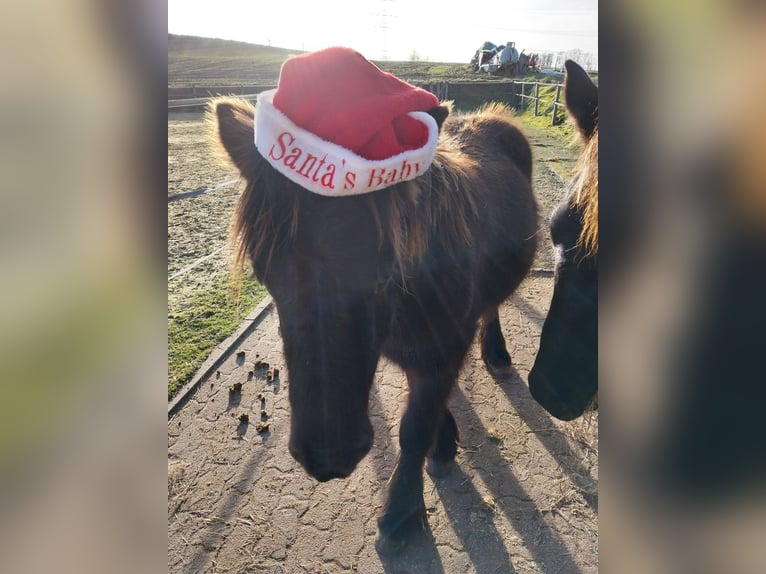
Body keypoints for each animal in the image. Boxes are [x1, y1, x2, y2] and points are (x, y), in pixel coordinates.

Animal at [210, 97, 538, 553]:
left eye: (385, 270)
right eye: (264, 273)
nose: (327, 458)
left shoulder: (444, 348)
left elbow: (413, 428)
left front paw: (399, 513)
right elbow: (427, 407)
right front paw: (443, 443)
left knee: (492, 309)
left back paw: (498, 354)